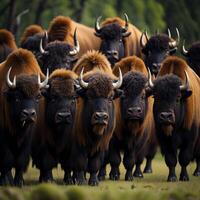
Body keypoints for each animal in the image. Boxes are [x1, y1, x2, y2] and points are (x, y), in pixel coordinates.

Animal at [0, 48, 47, 186]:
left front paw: (19, 182)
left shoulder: (28, 137)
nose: (29, 114)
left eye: (37, 96)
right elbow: (7, 160)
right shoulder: (3, 136)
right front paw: (5, 182)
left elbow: (20, 160)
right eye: (17, 97)